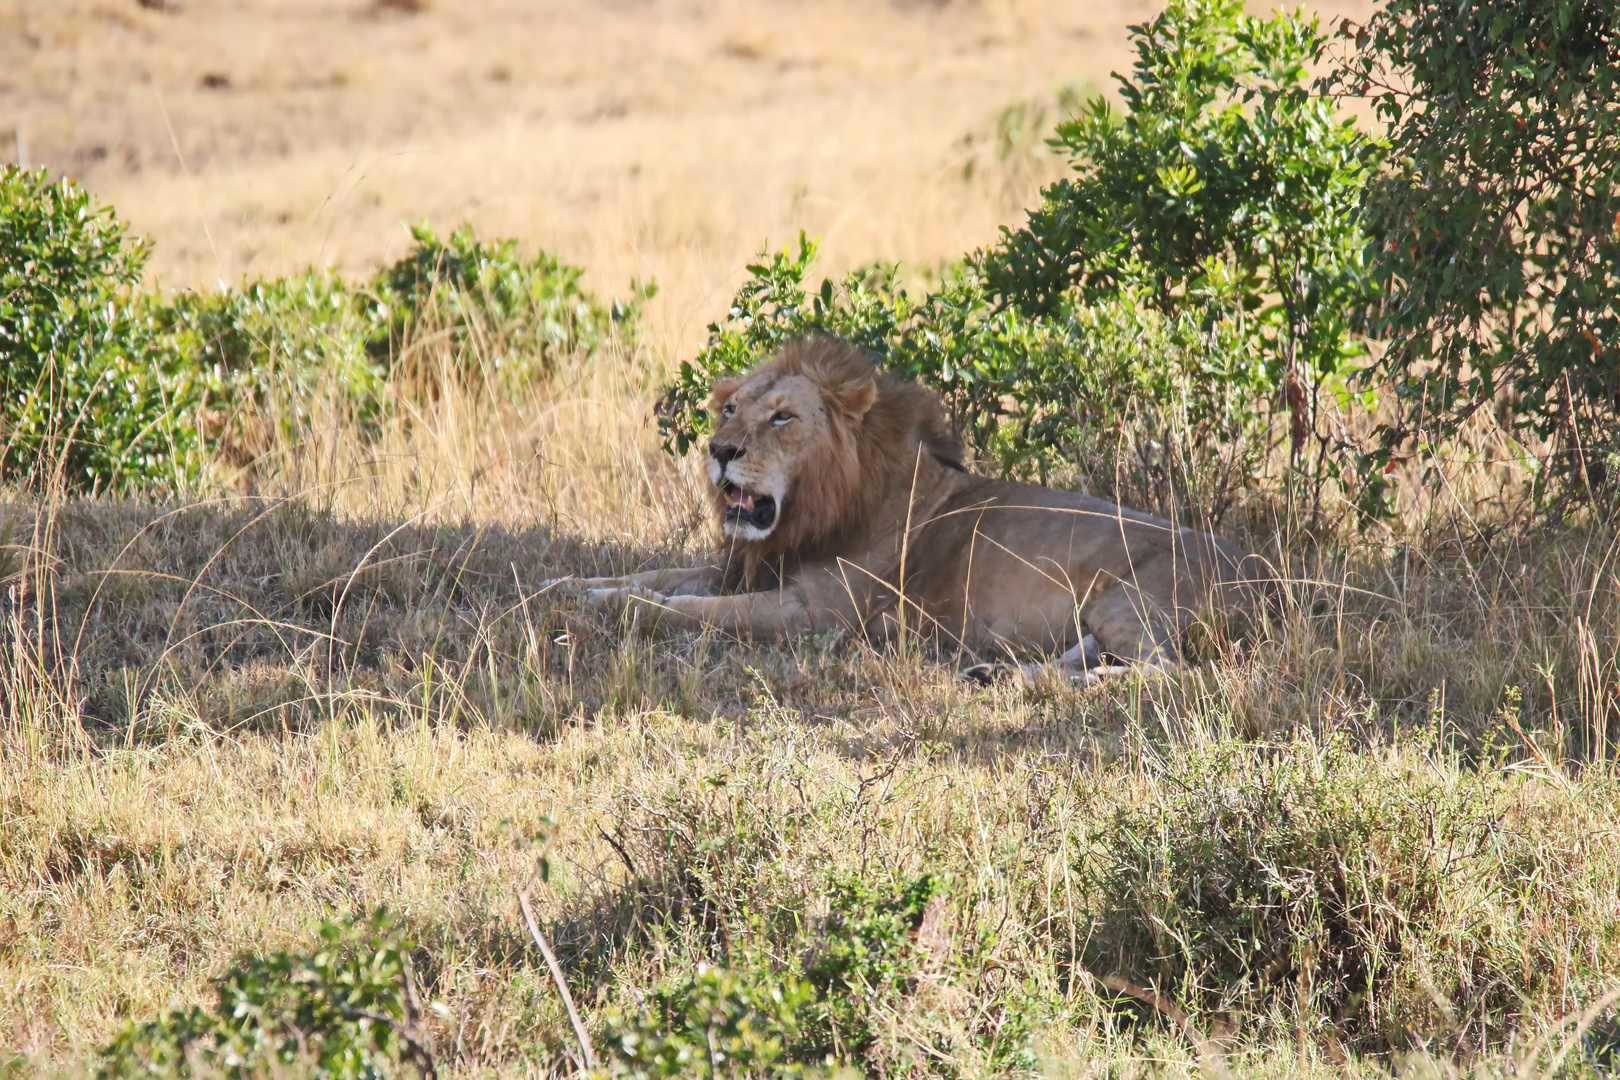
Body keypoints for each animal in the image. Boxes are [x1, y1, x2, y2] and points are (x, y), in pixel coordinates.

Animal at [550, 335, 1270, 683]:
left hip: (1131, 601)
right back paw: (996, 675)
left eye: (782, 417)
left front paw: (618, 607)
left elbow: (691, 610)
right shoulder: (746, 564)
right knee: (1092, 658)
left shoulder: (815, 613)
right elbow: (659, 574)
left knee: (1167, 673)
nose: (719, 451)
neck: (821, 503)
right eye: (730, 408)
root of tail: (1272, 585)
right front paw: (569, 587)